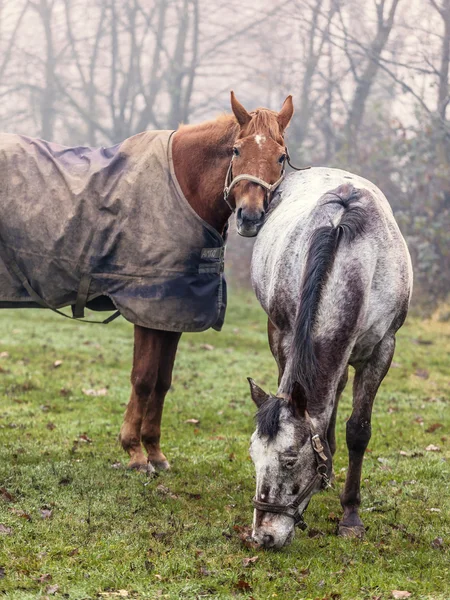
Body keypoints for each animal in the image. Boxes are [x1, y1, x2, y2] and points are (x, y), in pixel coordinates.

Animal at [118, 91, 294, 472]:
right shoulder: (148, 310)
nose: (250, 216)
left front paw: (154, 450)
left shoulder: (173, 312)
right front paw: (134, 453)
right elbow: (143, 379)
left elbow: (162, 382)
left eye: (281, 156)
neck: (179, 188)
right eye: (236, 151)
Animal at [248, 168, 414, 548]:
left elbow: (359, 431)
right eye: (253, 456)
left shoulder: (382, 351)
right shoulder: (286, 337)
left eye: (290, 460)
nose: (263, 536)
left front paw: (350, 515)